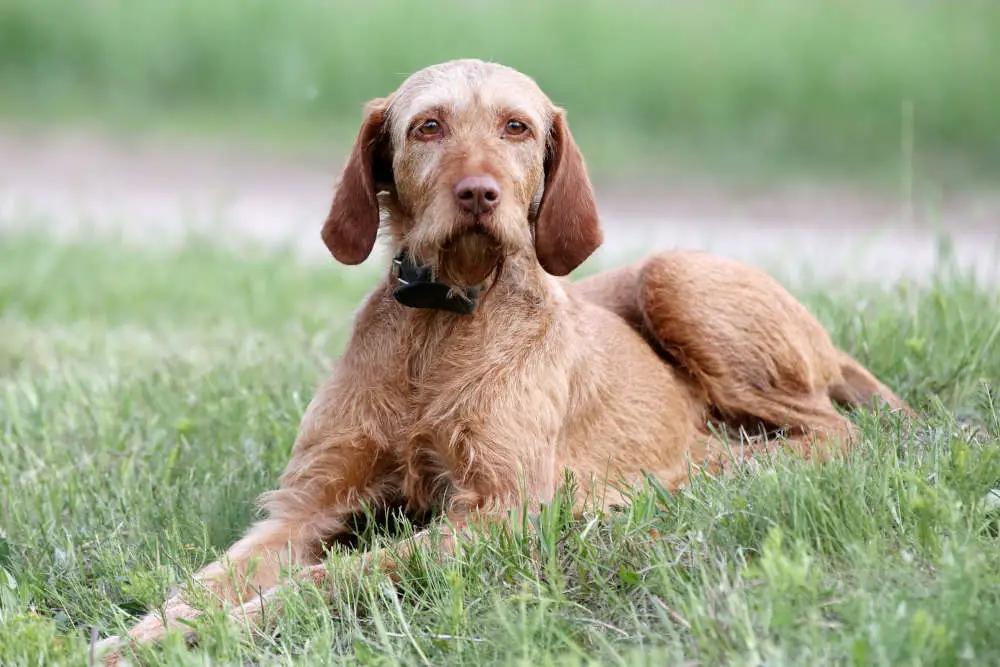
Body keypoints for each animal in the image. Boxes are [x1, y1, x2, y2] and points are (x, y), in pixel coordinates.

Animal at [95, 58, 916, 664]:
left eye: (516, 127)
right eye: (427, 126)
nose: (478, 192)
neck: (439, 325)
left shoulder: (498, 510)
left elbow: (336, 574)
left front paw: (221, 629)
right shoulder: (305, 501)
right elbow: (208, 580)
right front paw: (143, 634)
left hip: (674, 276)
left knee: (828, 432)